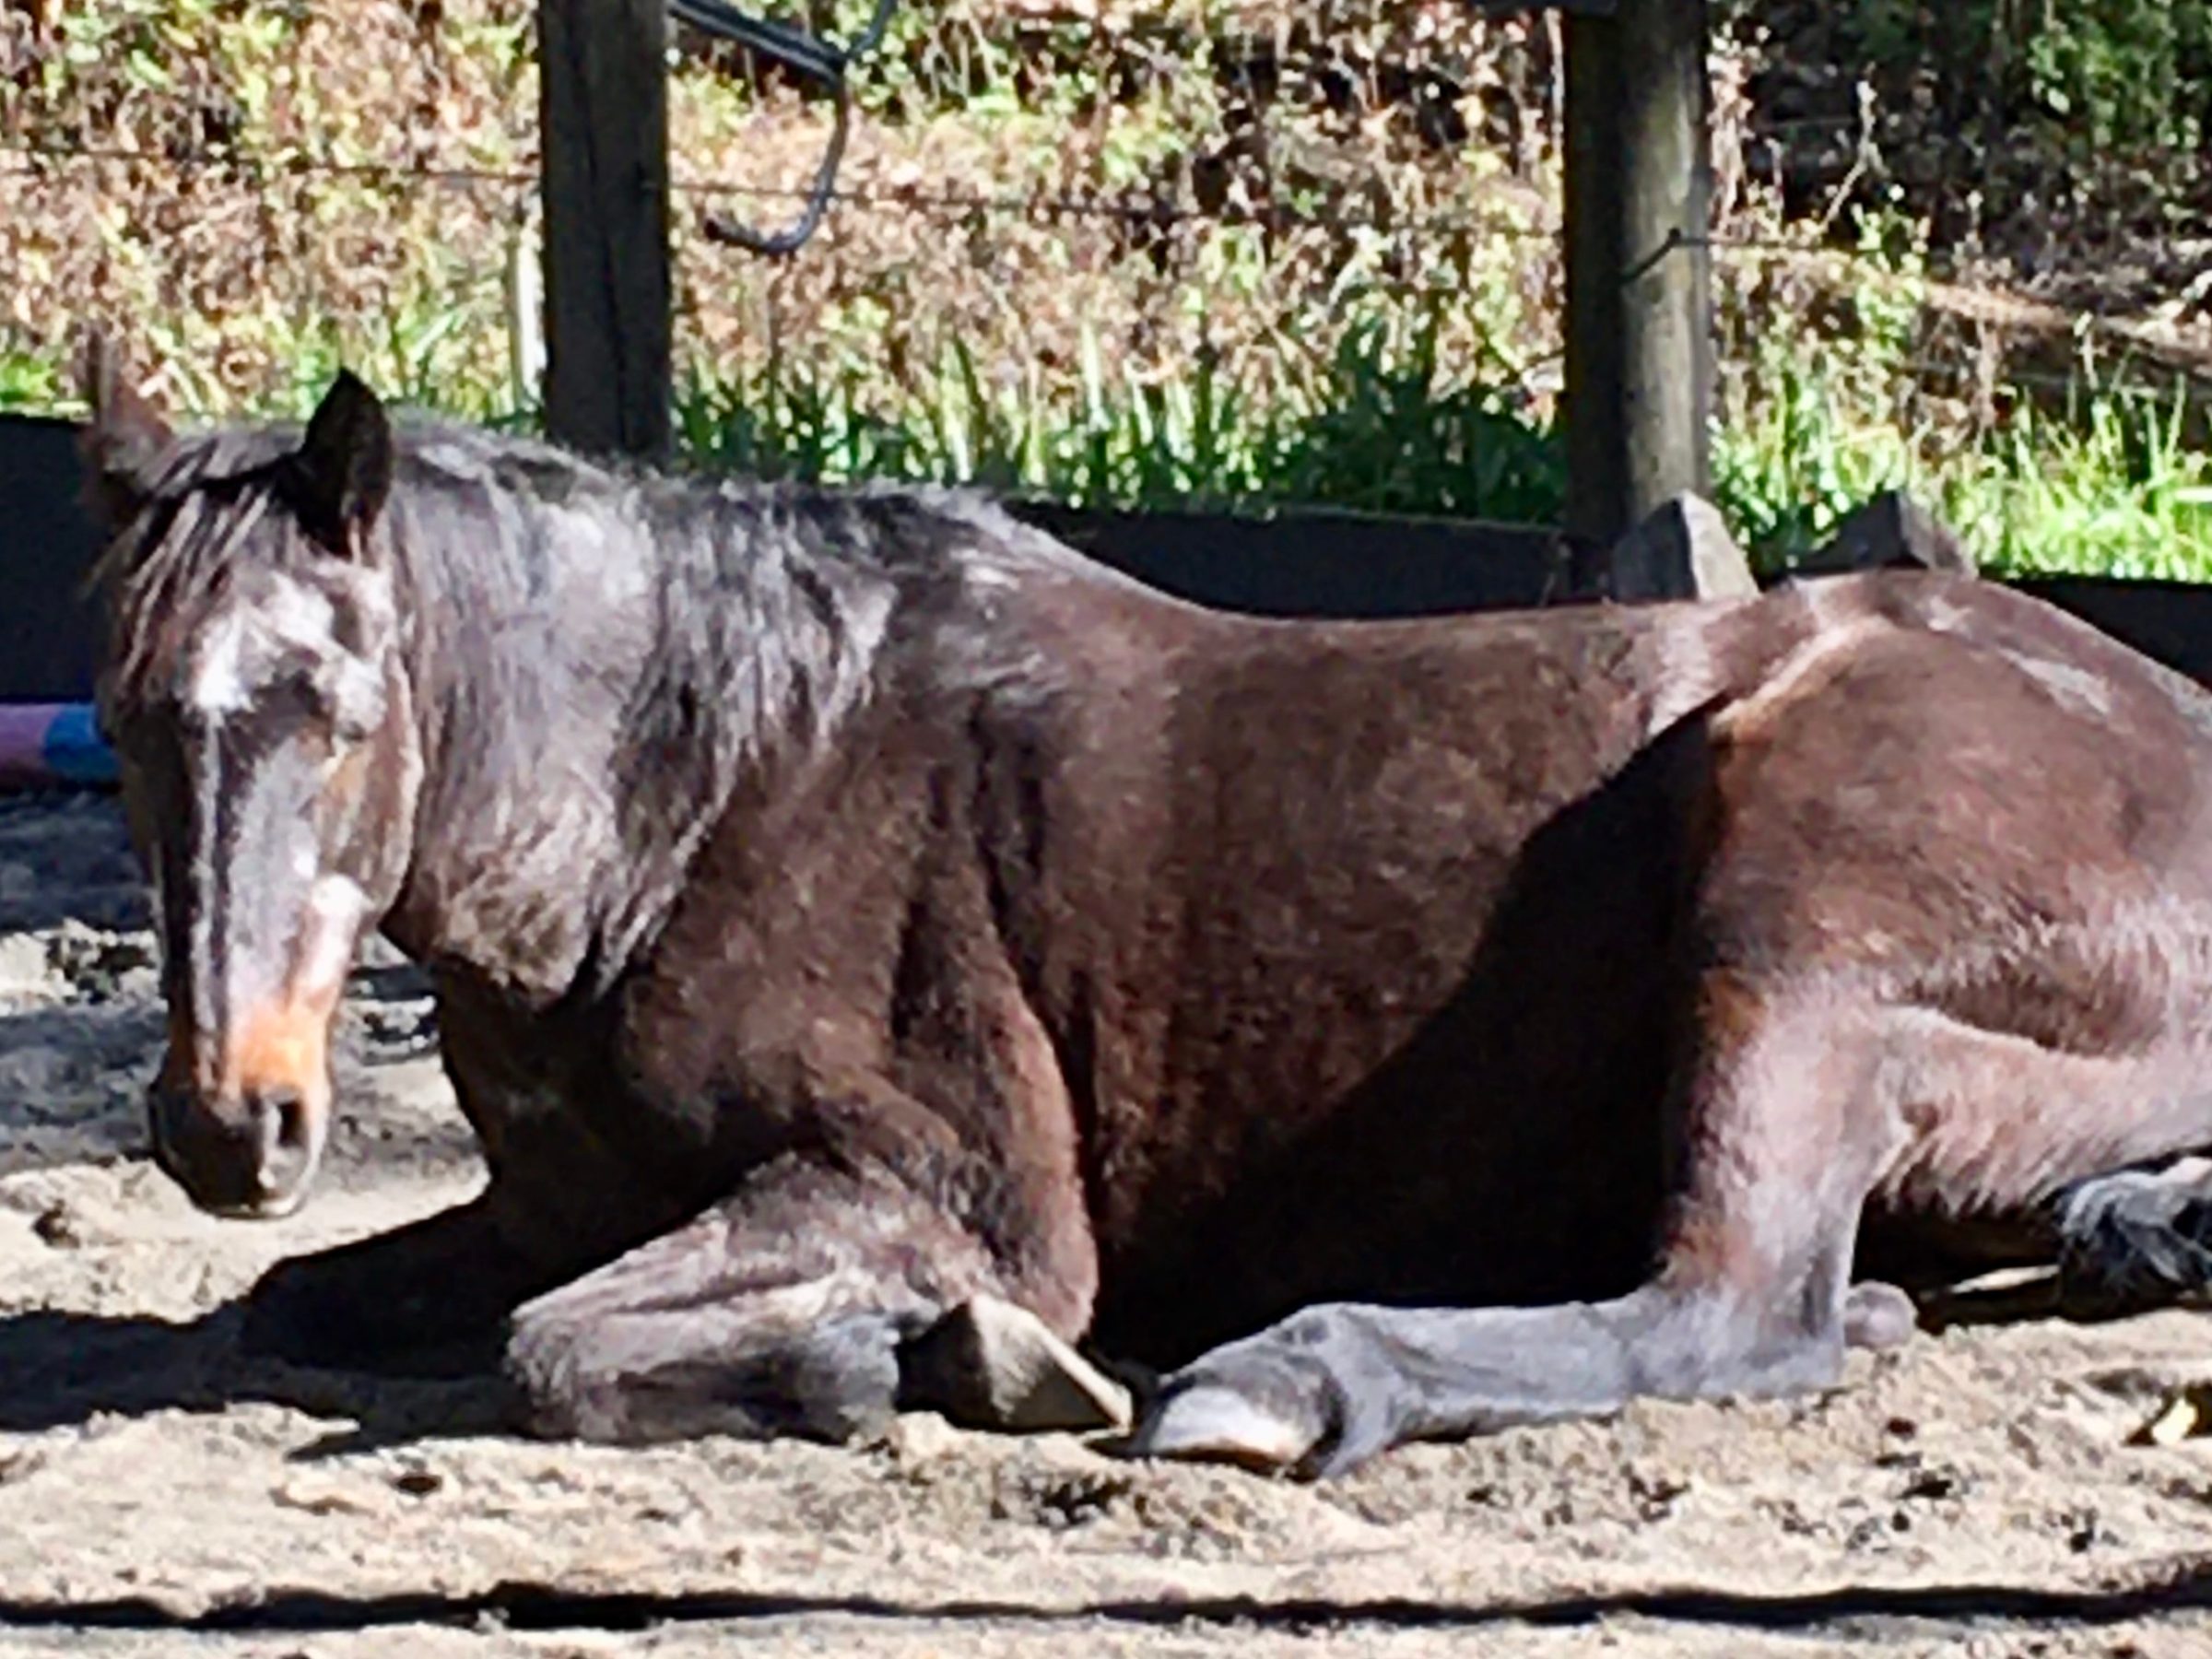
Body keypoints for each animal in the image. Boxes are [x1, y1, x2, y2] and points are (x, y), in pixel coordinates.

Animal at [77, 335, 2212, 1479]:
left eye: (337, 712)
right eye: (120, 713)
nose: (228, 1125)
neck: (688, 799)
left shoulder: (949, 1194)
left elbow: (551, 1352)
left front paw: (920, 1363)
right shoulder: (539, 1204)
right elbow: (299, 1306)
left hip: (1790, 915)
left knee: (1739, 1310)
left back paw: (1276, 1382)